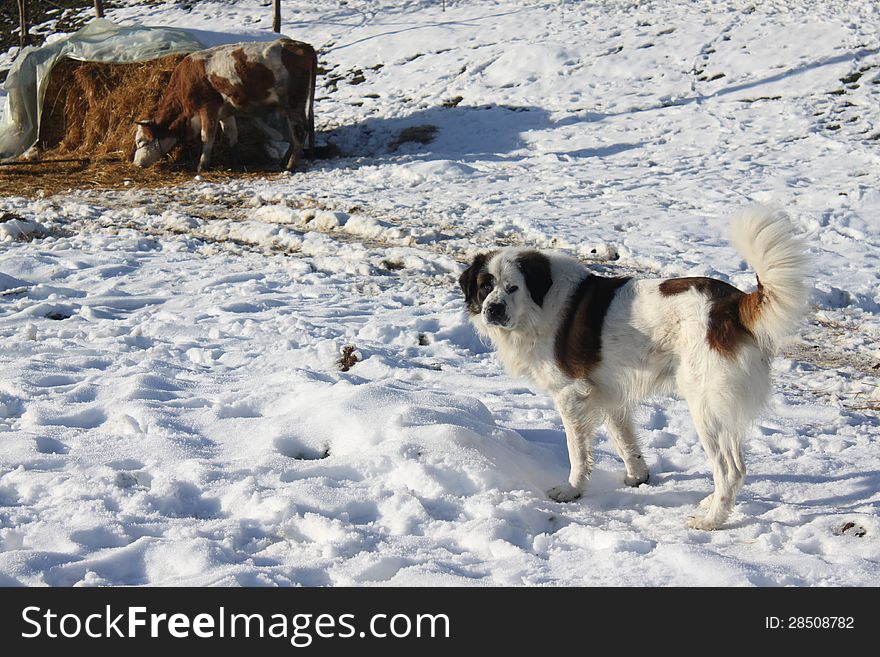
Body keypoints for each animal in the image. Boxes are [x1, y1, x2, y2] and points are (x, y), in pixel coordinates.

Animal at [133, 37, 316, 172]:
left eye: (141, 141)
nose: (136, 163)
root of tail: (301, 45)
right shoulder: (226, 113)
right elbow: (231, 136)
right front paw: (235, 162)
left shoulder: (208, 109)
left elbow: (207, 137)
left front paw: (201, 166)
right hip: (290, 107)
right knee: (296, 132)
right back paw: (284, 161)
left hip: (294, 102)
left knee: (299, 130)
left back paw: (291, 165)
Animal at [460, 205, 812, 528]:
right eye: (485, 287)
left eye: (512, 287)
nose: (493, 309)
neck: (542, 302)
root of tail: (732, 305)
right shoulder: (609, 393)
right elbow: (625, 440)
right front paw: (637, 476)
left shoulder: (572, 396)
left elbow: (577, 451)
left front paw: (573, 489)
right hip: (722, 408)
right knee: (735, 465)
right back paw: (712, 502)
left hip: (705, 407)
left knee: (731, 469)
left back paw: (712, 519)